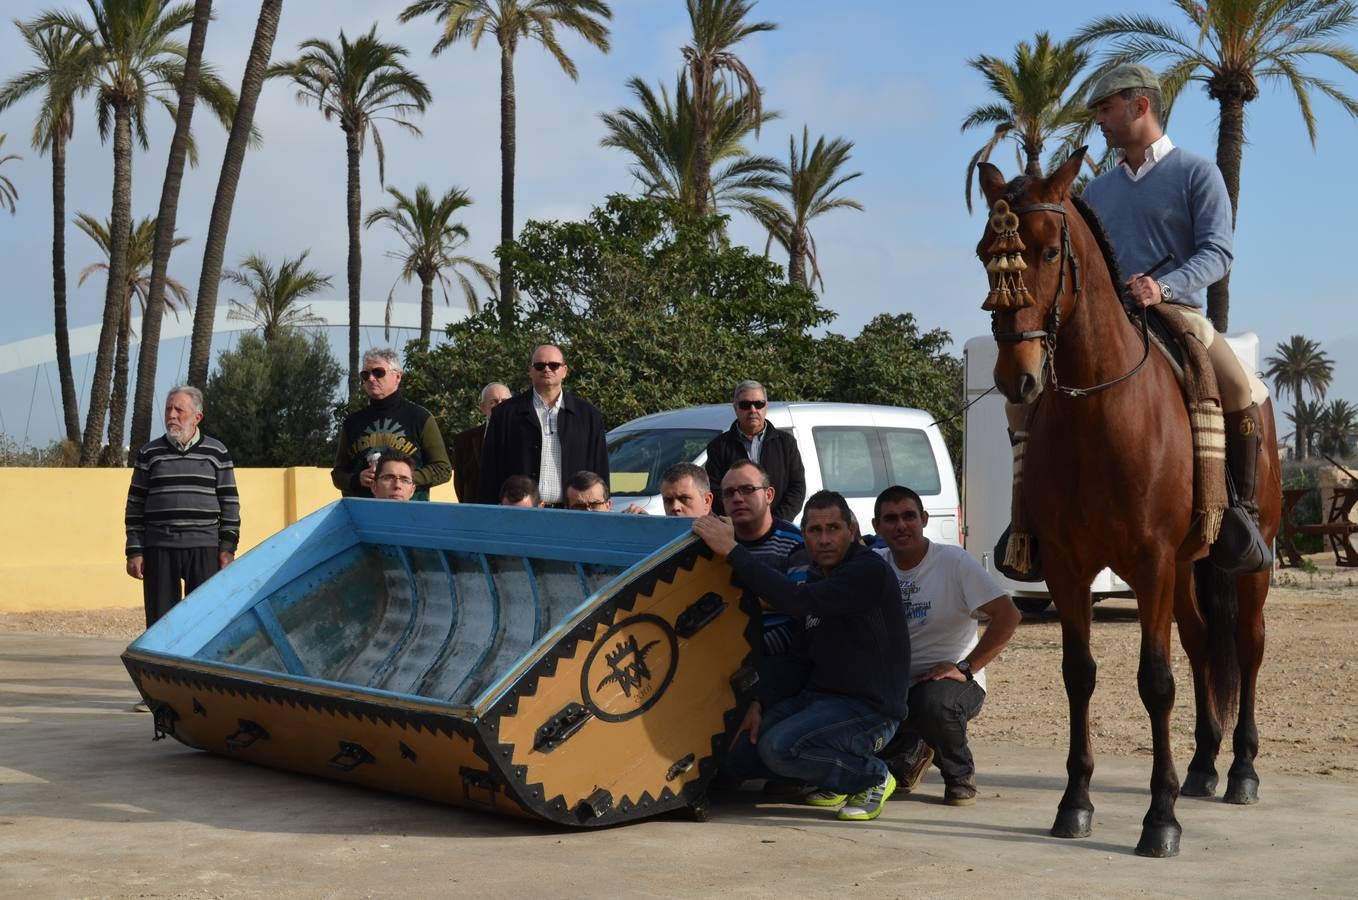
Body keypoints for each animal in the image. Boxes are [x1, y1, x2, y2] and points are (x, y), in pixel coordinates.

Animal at [972, 153, 1276, 857]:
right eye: (985, 256)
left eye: (1049, 250)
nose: (1016, 378)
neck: (1101, 410)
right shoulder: (1068, 566)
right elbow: (1078, 674)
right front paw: (1075, 802)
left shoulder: (1151, 561)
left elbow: (1155, 682)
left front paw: (1159, 818)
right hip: (1188, 571)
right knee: (1201, 642)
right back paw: (1202, 767)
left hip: (1245, 567)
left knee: (1246, 648)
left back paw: (1241, 771)